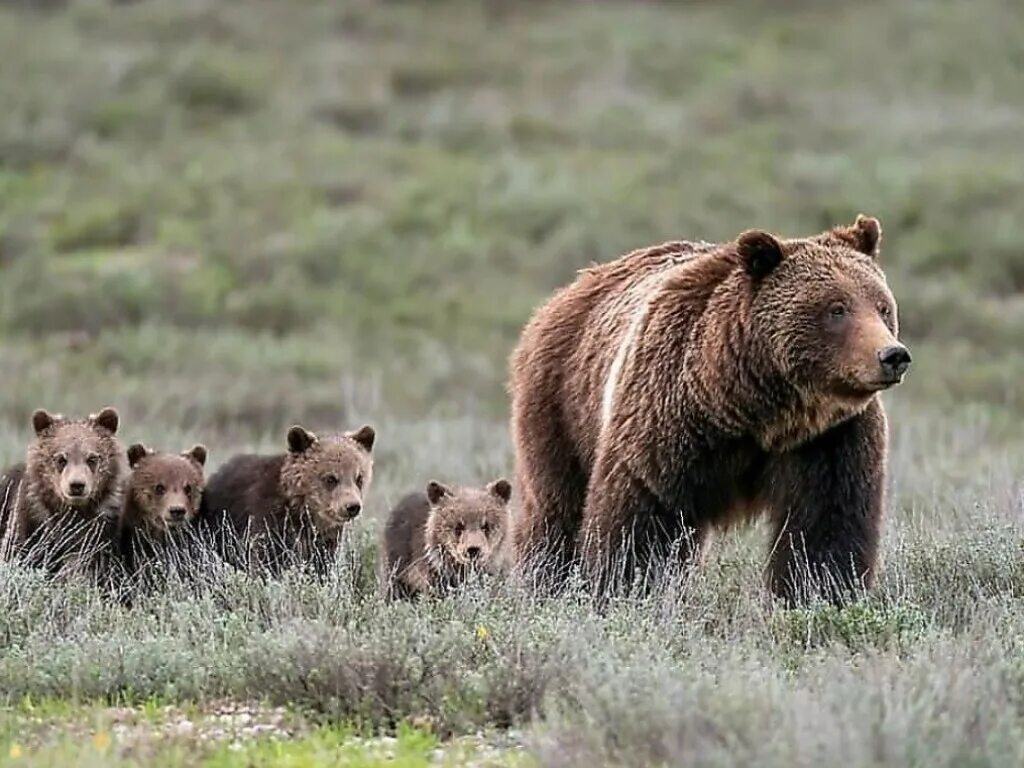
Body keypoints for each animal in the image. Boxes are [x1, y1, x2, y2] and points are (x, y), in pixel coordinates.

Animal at [0, 409, 124, 577]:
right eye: (61, 459)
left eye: (92, 458)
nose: (77, 485)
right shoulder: (31, 520)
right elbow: (16, 551)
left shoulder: (102, 528)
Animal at [197, 423, 374, 573]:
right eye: (330, 478)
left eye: (359, 478)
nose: (352, 506)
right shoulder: (268, 522)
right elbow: (267, 561)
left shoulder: (325, 539)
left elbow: (322, 564)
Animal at [512, 214, 913, 606]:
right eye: (836, 309)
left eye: (882, 306)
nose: (893, 355)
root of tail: (569, 290)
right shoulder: (666, 417)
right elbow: (640, 517)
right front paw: (623, 589)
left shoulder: (829, 437)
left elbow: (826, 525)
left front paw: (819, 594)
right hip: (562, 403)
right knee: (555, 508)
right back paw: (544, 581)